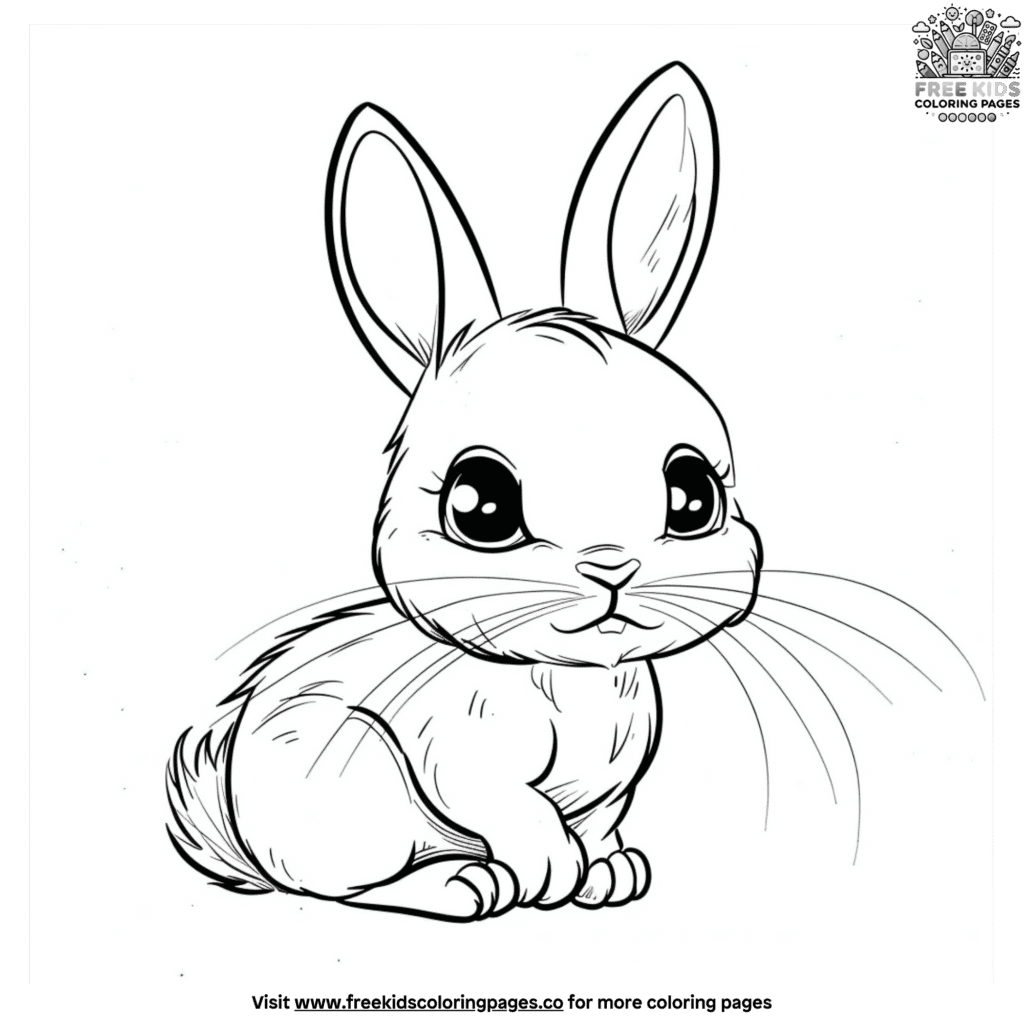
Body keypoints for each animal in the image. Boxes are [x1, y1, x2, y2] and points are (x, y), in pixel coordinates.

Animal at [165, 63, 978, 921]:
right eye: (479, 505)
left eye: (693, 496)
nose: (612, 567)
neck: (576, 680)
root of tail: (239, 832)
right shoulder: (458, 753)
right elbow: (512, 807)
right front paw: (551, 872)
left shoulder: (613, 780)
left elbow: (598, 819)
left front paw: (609, 876)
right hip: (351, 792)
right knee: (347, 887)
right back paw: (462, 883)